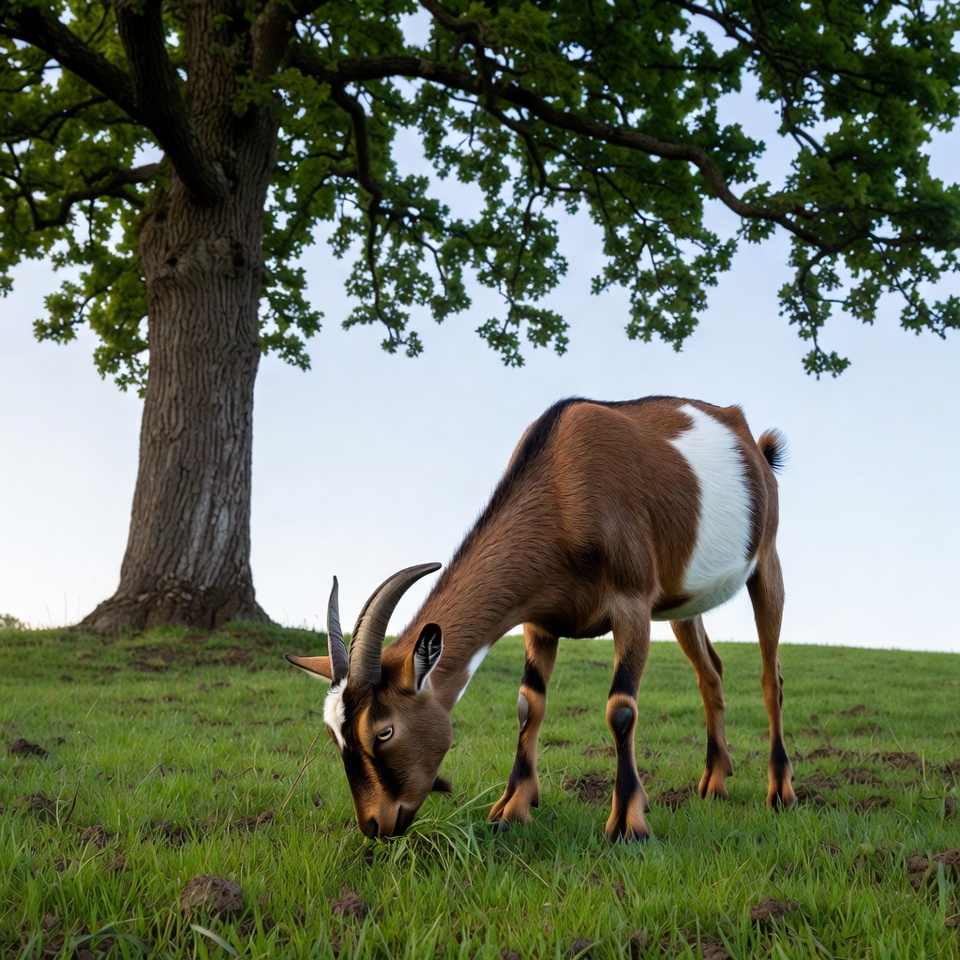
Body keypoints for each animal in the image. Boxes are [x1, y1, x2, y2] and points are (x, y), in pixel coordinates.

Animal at [287, 396, 794, 841]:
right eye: (334, 735)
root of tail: (755, 444)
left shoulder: (632, 602)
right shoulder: (541, 620)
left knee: (771, 675)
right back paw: (715, 781)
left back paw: (781, 791)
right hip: (682, 602)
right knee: (711, 673)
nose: (375, 825)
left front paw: (629, 823)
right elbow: (528, 703)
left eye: (384, 730)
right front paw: (512, 808)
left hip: (767, 561)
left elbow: (621, 708)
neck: (563, 492)